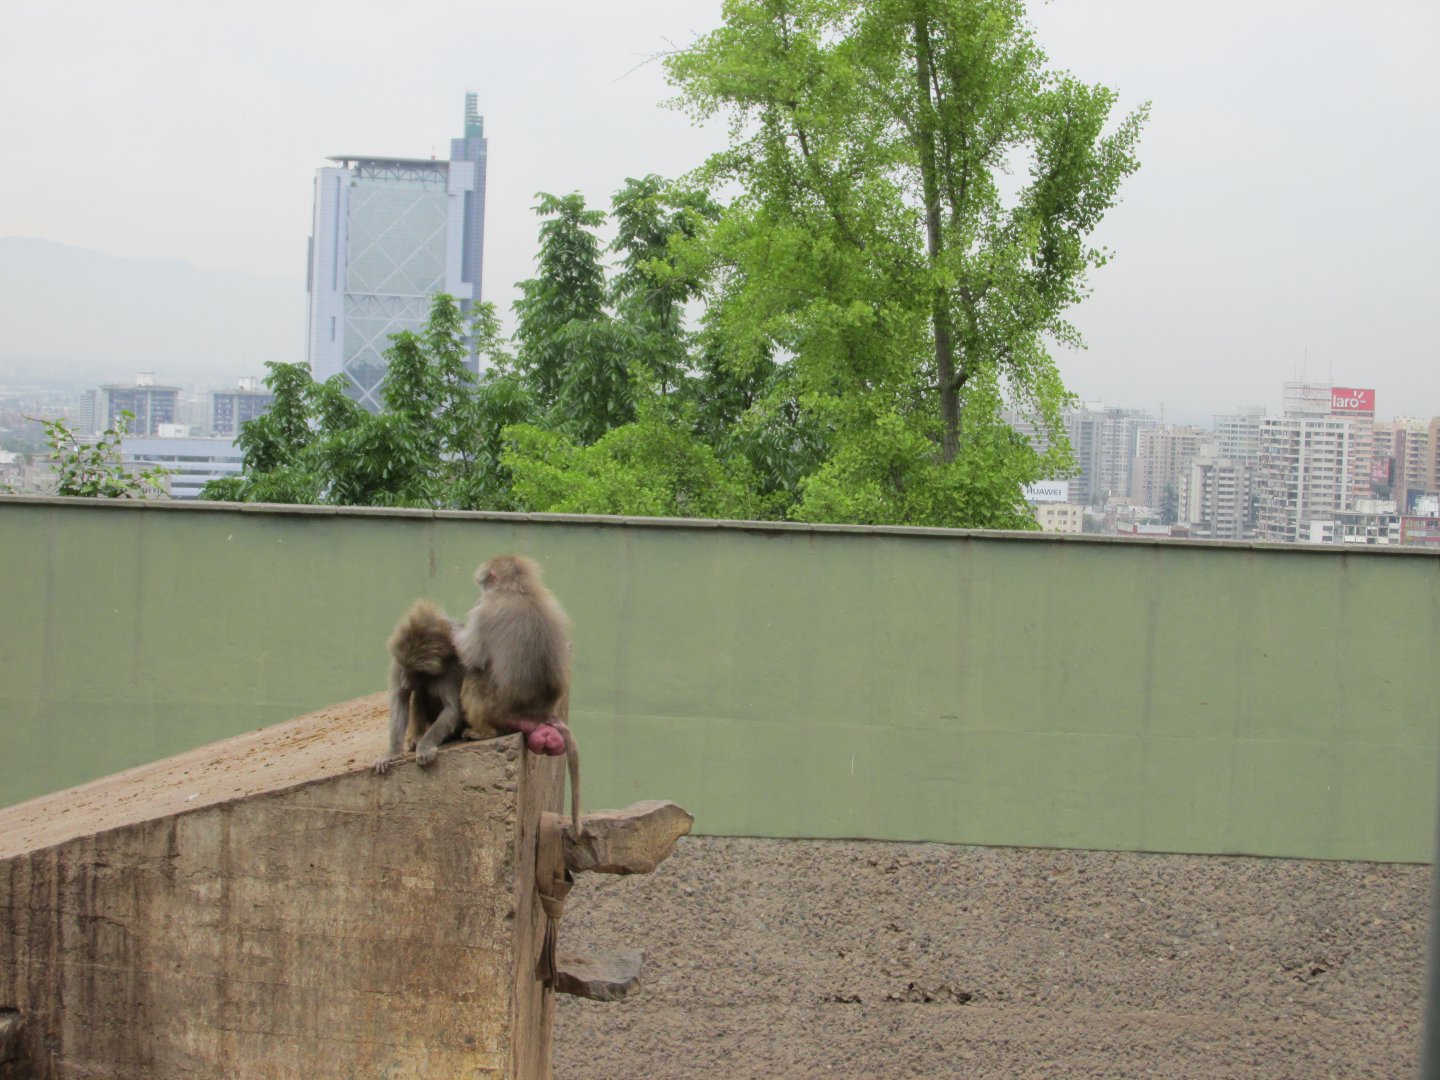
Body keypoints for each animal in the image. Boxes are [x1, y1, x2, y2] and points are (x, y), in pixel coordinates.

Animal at [373, 600, 466, 774]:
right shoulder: (397, 665)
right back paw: (416, 738)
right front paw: (392, 753)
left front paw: (424, 747)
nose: (404, 681)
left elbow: (452, 709)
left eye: (416, 671)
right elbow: (400, 700)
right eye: (404, 667)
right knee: (420, 693)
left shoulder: (451, 670)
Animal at [454, 554, 582, 830]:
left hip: (496, 708)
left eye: (485, 585)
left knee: (475, 677)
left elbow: (472, 655)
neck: (518, 588)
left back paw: (481, 732)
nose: (481, 591)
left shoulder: (484, 611)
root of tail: (538, 715)